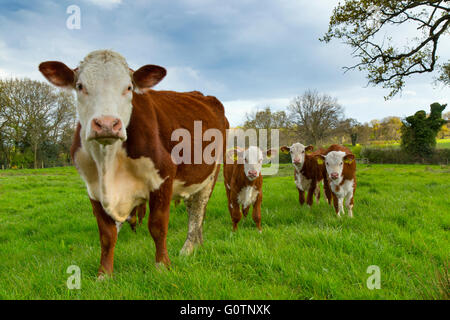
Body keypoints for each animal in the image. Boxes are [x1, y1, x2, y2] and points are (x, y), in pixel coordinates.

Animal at [38, 50, 229, 278]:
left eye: (128, 87)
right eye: (80, 86)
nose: (107, 124)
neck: (108, 162)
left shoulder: (164, 177)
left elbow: (157, 226)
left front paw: (162, 266)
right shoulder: (93, 189)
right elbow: (107, 235)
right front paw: (104, 275)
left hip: (210, 174)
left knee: (198, 211)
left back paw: (187, 249)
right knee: (194, 208)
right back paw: (197, 245)